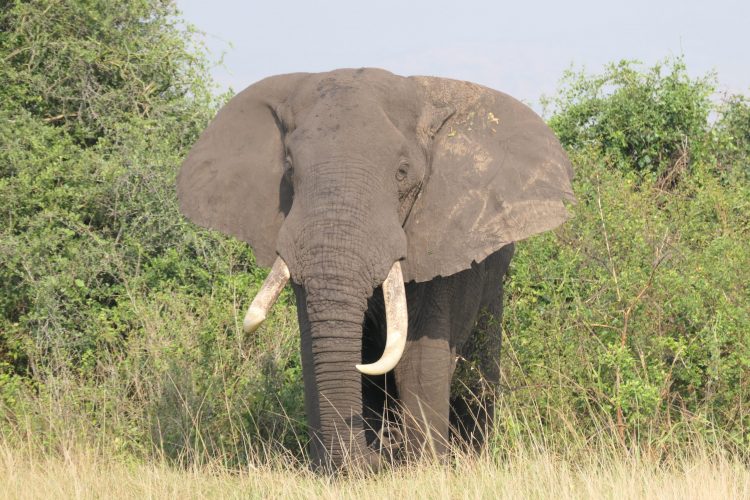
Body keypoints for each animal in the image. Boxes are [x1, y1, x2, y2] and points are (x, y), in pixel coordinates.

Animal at [176, 68, 574, 471]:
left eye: (402, 172)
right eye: (289, 168)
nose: (379, 455)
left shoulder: (440, 236)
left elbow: (418, 359)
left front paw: (426, 470)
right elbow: (315, 351)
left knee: (478, 370)